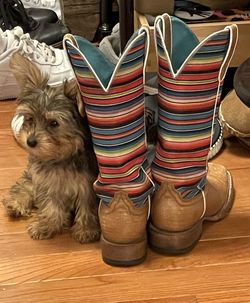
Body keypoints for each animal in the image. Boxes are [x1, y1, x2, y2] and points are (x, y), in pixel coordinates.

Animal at [1, 51, 100, 242]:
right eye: (30, 118)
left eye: (54, 123)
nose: (30, 141)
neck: (59, 157)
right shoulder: (47, 183)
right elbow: (51, 205)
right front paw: (47, 225)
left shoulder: (87, 185)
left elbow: (87, 206)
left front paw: (86, 230)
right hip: (33, 177)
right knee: (26, 185)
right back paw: (16, 204)